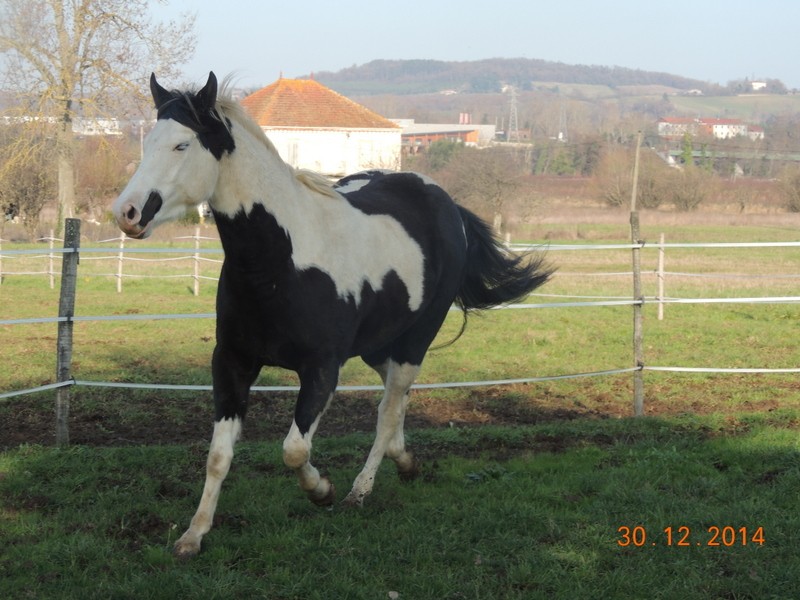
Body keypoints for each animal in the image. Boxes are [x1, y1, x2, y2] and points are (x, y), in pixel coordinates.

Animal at [111, 74, 552, 556]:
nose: (127, 213)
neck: (281, 262)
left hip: (415, 340)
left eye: (182, 145)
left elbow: (294, 450)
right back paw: (405, 460)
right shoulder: (232, 362)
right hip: (378, 345)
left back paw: (361, 490)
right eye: (148, 142)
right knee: (394, 402)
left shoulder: (322, 368)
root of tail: (444, 202)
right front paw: (194, 534)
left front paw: (322, 491)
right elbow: (218, 455)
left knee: (388, 409)